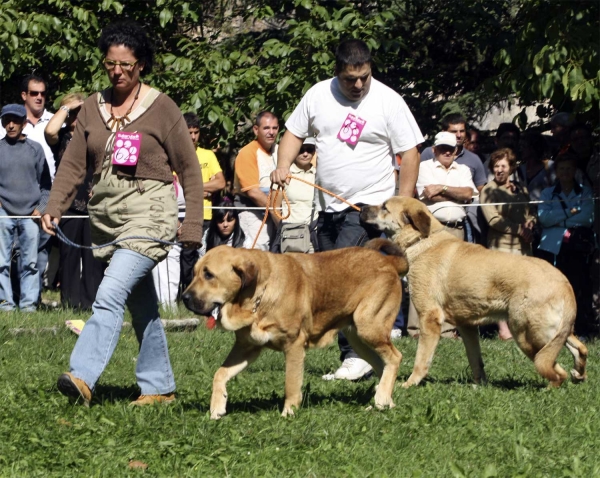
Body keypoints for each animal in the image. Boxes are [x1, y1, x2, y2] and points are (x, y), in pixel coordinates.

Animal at [183, 239, 408, 418]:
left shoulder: (294, 346)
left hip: (369, 326)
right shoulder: (246, 347)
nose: (184, 297)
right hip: (358, 338)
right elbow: (220, 373)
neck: (257, 297)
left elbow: (291, 383)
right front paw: (217, 407)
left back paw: (381, 398)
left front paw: (288, 413)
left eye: (209, 275)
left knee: (395, 358)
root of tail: (389, 261)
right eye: (195, 273)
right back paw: (383, 400)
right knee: (381, 364)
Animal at [358, 197, 588, 388]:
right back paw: (579, 374)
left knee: (557, 372)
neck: (421, 240)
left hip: (526, 335)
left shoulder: (429, 319)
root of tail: (564, 282)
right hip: (551, 332)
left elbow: (421, 360)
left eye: (384, 208)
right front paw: (480, 386)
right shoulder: (467, 326)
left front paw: (408, 385)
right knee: (580, 348)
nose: (361, 208)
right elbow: (476, 360)